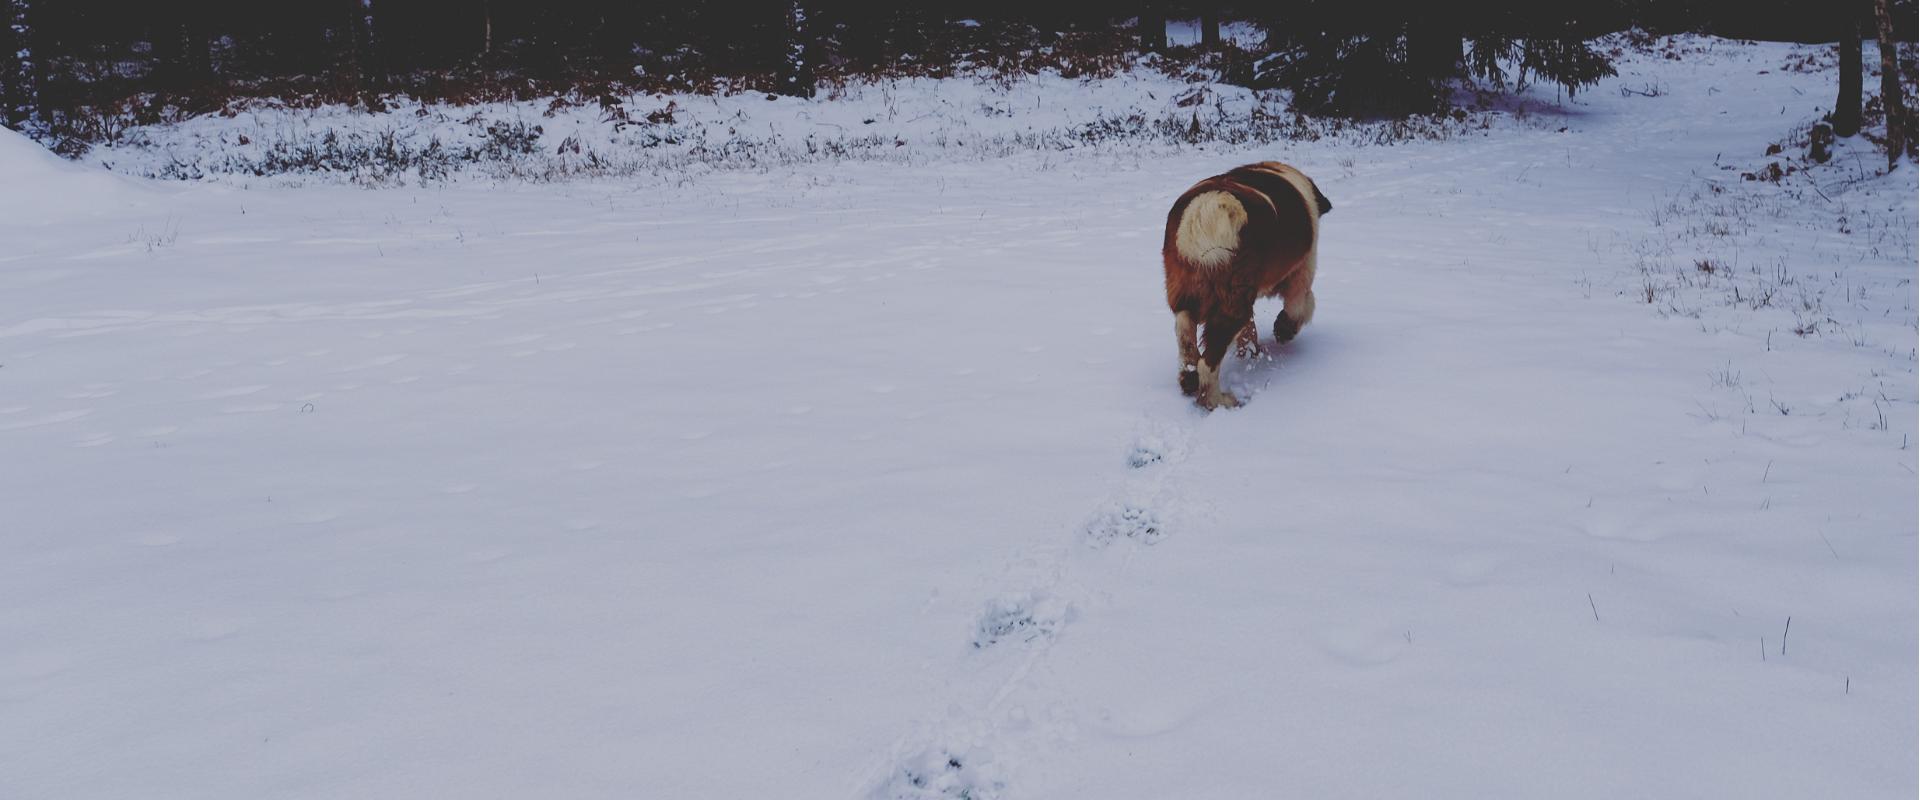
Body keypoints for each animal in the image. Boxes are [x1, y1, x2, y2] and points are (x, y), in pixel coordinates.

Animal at [1152, 163, 1336, 410]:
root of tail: (1208, 206)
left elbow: (1249, 330)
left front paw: (1250, 352)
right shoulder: (1302, 273)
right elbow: (1299, 306)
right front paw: (1283, 330)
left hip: (1185, 291)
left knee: (1185, 337)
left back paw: (1189, 380)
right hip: (1231, 303)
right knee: (1207, 364)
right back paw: (1219, 400)